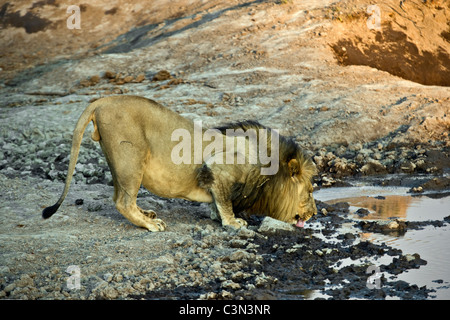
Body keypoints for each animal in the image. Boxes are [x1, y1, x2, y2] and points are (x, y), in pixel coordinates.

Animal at [41, 95, 316, 230]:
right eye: (311, 191)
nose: (314, 213)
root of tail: (102, 101)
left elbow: (217, 200)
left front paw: (216, 216)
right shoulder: (218, 167)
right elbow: (225, 201)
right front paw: (232, 223)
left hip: (119, 163)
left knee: (121, 195)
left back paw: (147, 213)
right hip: (131, 159)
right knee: (122, 201)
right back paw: (150, 224)